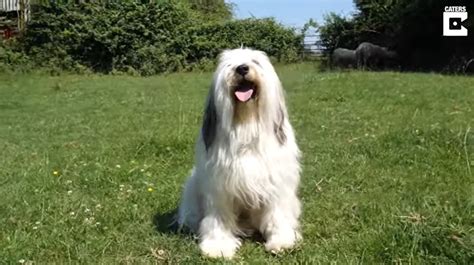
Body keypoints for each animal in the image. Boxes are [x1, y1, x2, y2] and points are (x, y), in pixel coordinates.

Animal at [176, 47, 302, 258]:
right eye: (230, 64)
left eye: (255, 61)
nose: (242, 68)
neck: (246, 125)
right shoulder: (218, 187)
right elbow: (218, 217)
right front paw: (218, 245)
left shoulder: (276, 182)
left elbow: (277, 213)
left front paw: (282, 240)